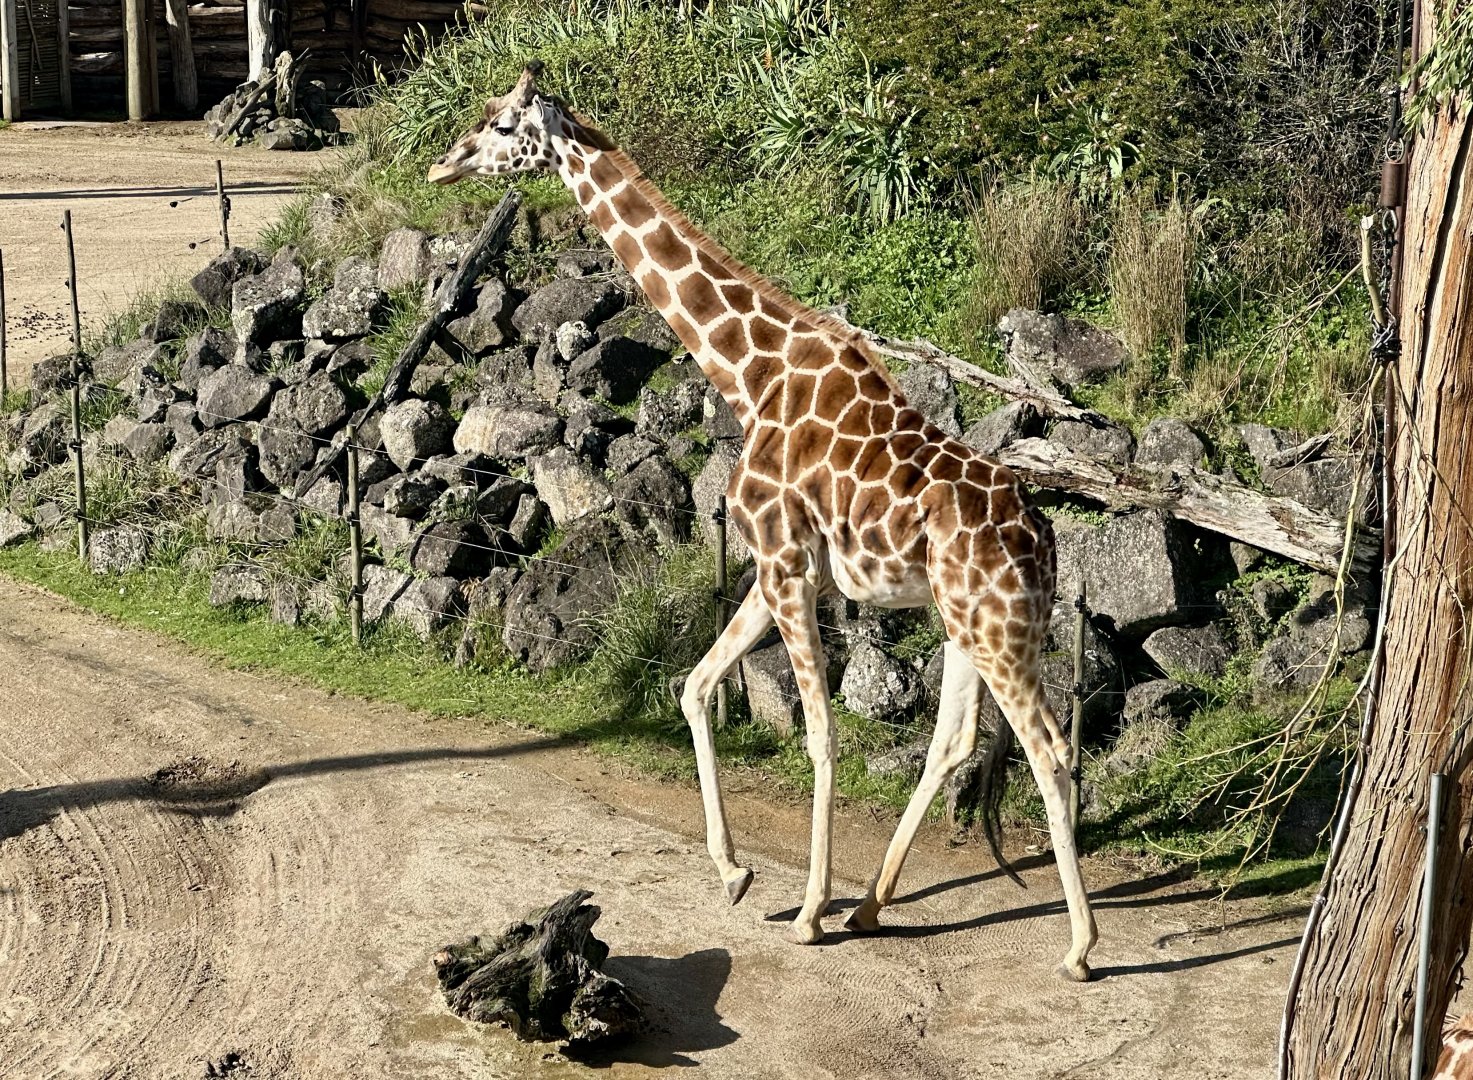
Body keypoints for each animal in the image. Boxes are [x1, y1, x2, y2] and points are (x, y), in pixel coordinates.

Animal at [428, 63, 1098, 980]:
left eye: (501, 124)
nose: (442, 164)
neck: (748, 375)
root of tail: (1049, 541)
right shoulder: (775, 568)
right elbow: (694, 685)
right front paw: (735, 873)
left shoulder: (784, 565)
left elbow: (819, 734)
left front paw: (808, 911)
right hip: (967, 619)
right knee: (956, 742)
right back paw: (873, 906)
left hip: (996, 626)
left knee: (1050, 751)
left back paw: (1078, 948)